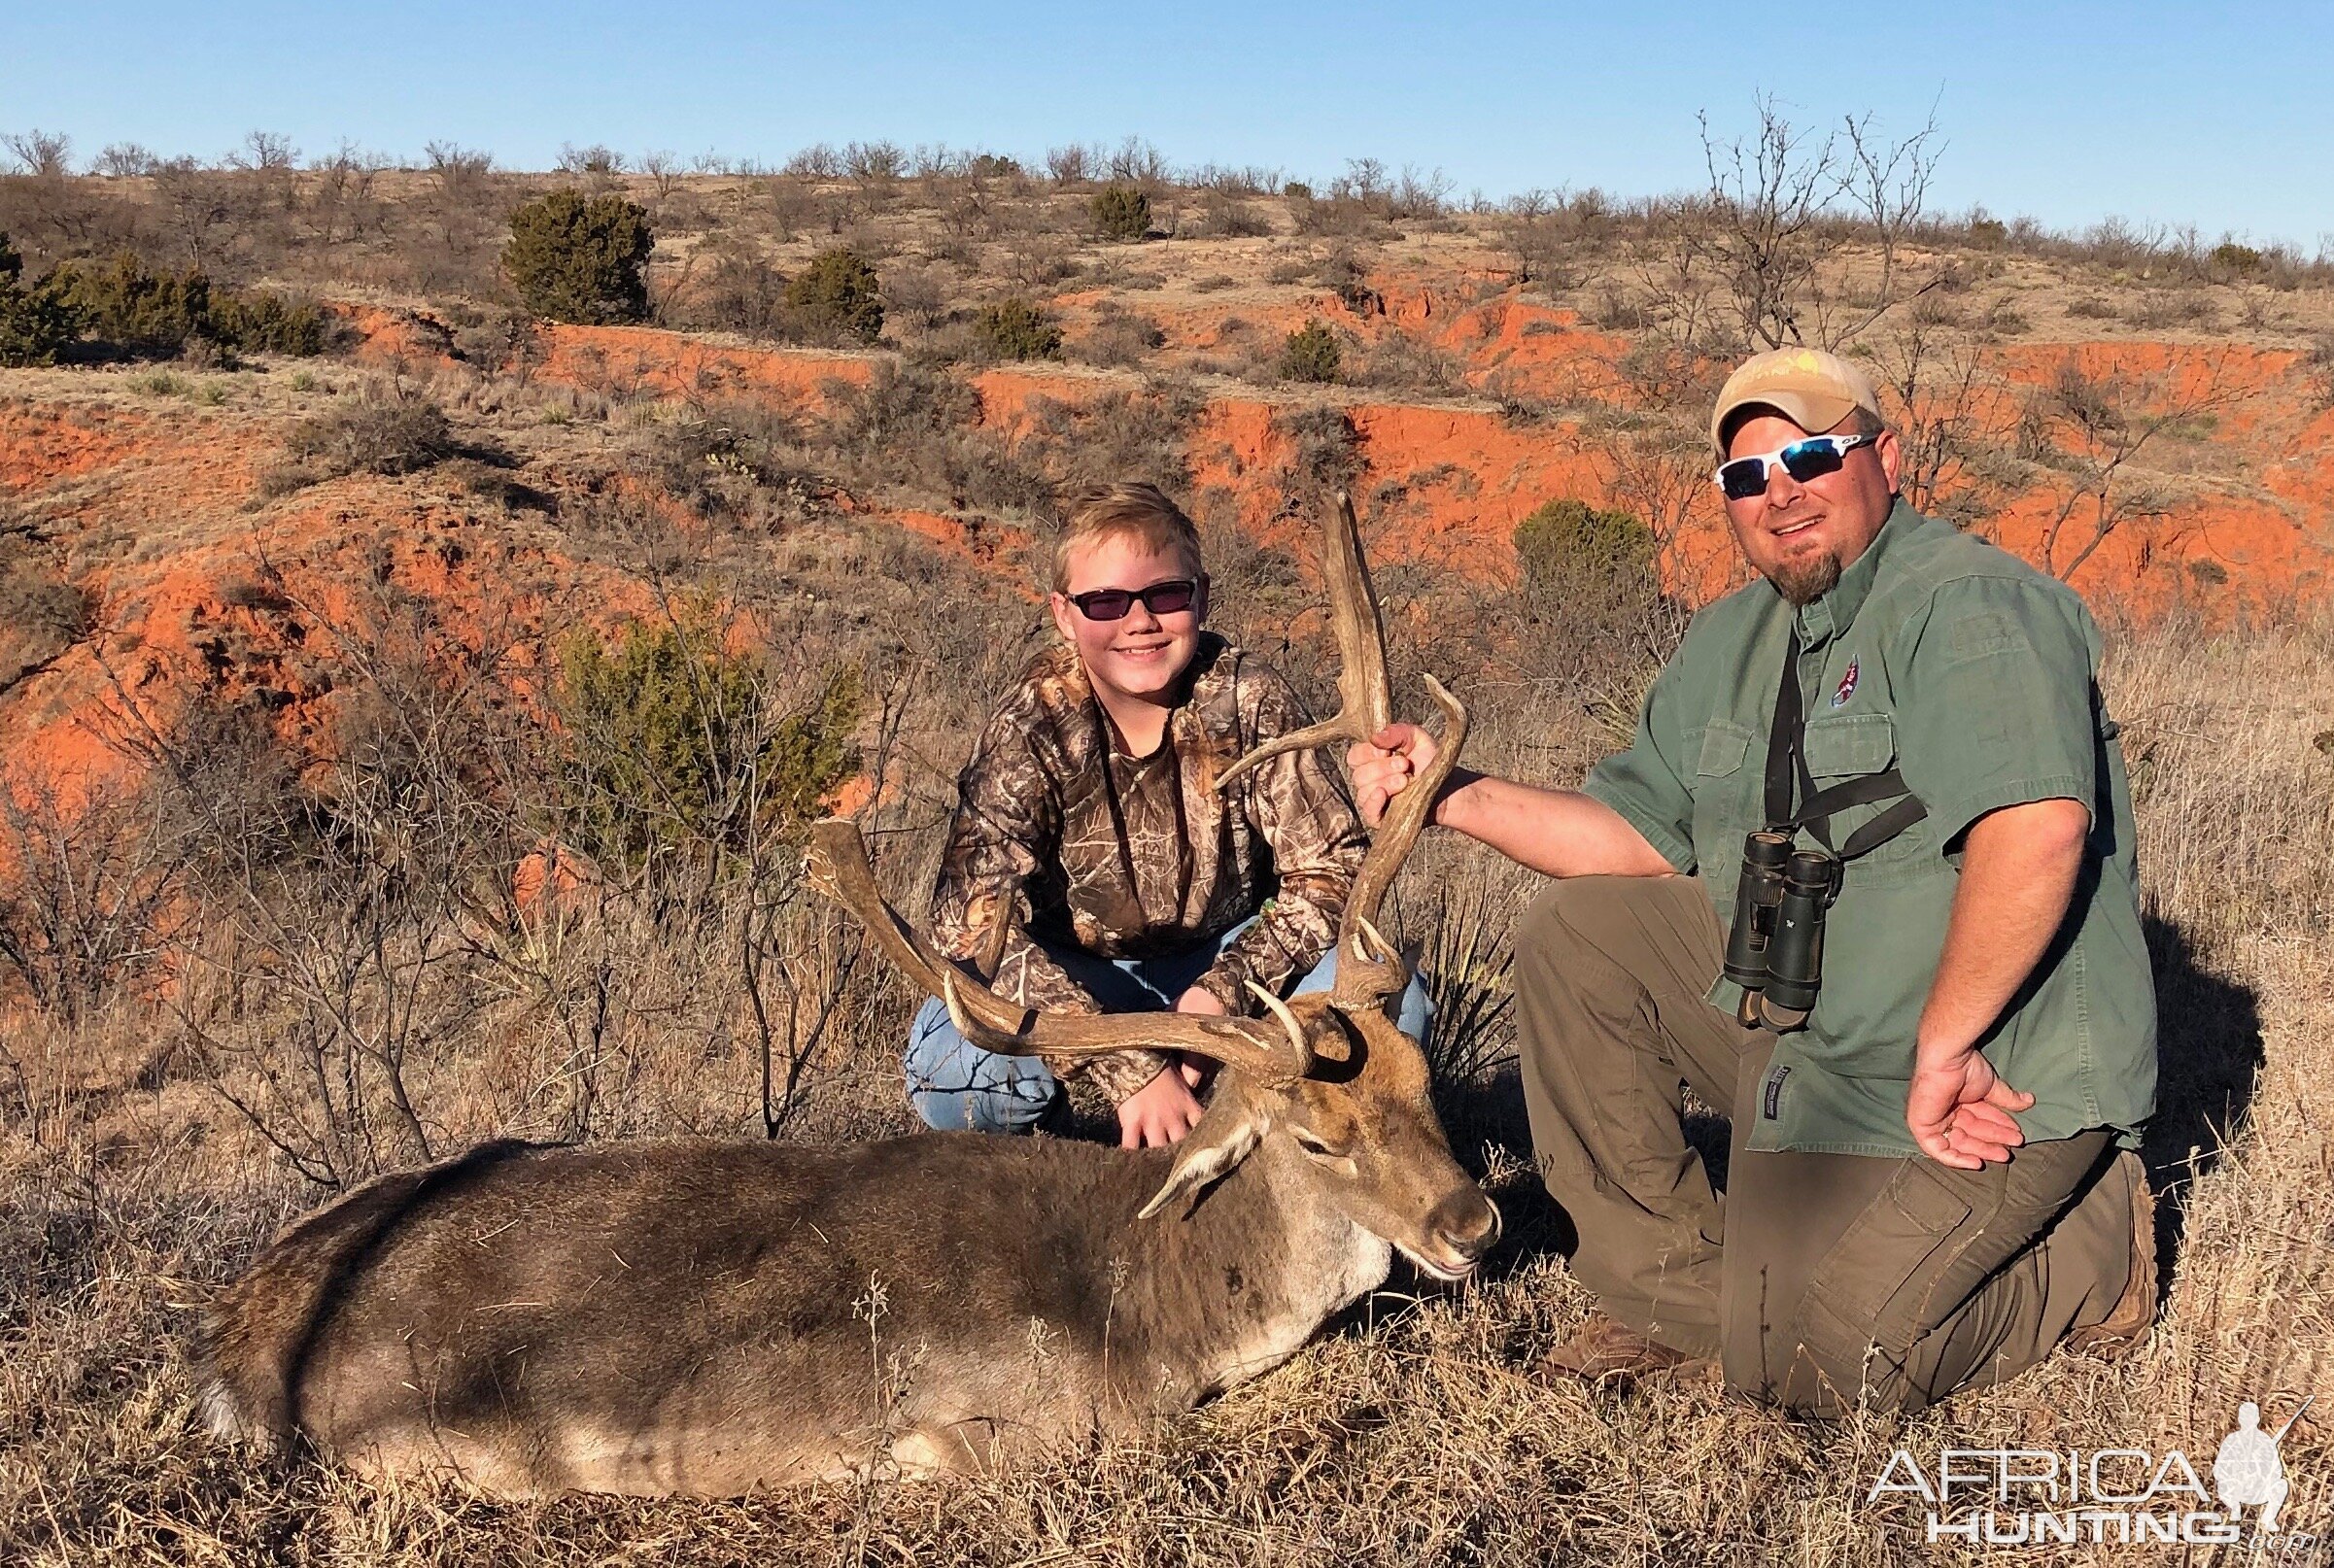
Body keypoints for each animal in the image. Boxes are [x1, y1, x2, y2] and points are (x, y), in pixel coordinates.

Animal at [190, 492, 1484, 1493]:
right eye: (1313, 1139)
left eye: (1422, 1086)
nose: (1470, 1222)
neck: (1152, 1303)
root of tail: (240, 1338)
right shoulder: (996, 1427)